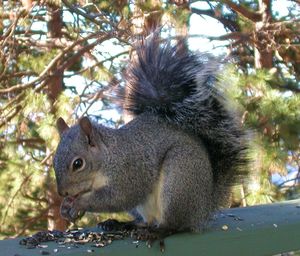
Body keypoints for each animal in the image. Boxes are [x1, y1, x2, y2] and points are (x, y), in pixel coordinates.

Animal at [52, 36, 248, 234]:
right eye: (54, 160)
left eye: (78, 164)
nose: (62, 193)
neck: (107, 158)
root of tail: (203, 209)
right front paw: (66, 206)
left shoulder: (129, 172)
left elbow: (118, 198)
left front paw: (79, 204)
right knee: (147, 220)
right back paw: (123, 224)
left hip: (179, 177)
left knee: (176, 224)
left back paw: (158, 231)